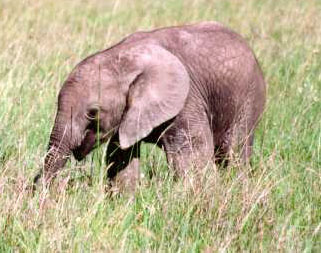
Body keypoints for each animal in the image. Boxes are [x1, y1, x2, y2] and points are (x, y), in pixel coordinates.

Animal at [34, 21, 264, 187]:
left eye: (93, 113)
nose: (38, 190)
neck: (122, 58)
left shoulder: (186, 100)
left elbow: (192, 154)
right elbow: (120, 158)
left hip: (248, 97)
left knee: (233, 150)